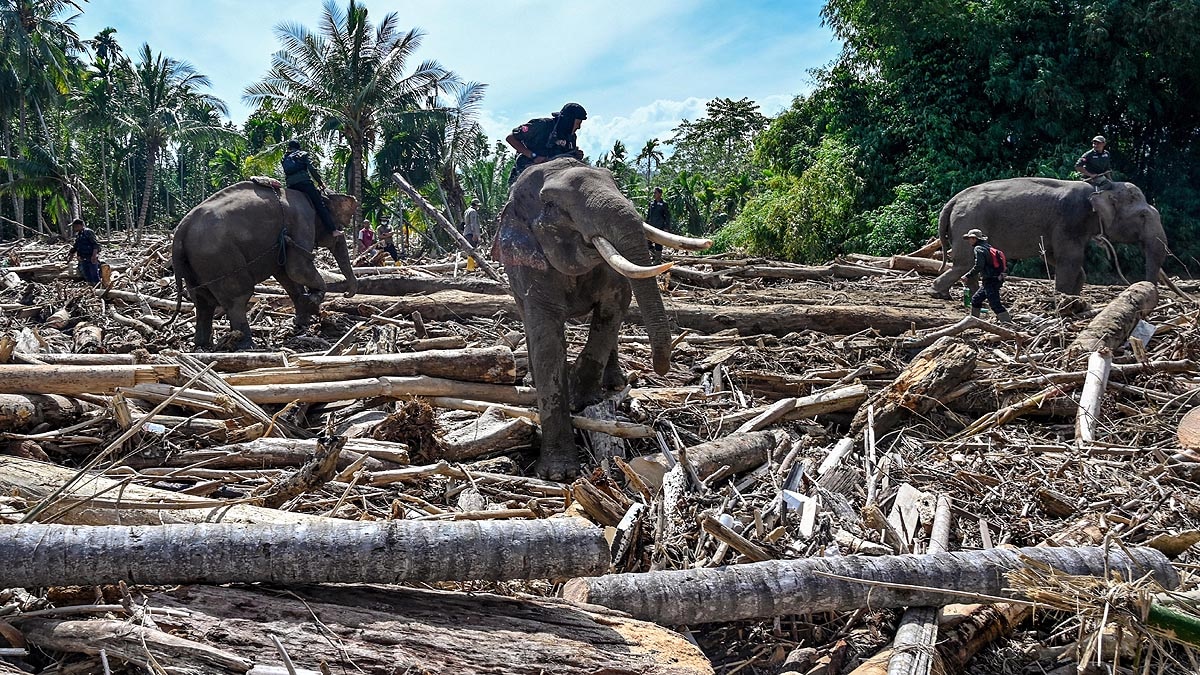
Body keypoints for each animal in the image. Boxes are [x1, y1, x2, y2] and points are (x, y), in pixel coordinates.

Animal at [172, 180, 359, 349]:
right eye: (339, 227)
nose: (346, 295)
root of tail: (180, 230)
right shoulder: (302, 223)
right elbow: (297, 268)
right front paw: (313, 299)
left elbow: (285, 275)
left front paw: (302, 319)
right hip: (220, 258)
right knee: (238, 297)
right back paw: (246, 345)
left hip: (197, 264)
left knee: (203, 301)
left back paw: (203, 344)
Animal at [495, 158, 711, 479]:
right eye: (550, 204)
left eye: (615, 182)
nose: (661, 368)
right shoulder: (528, 264)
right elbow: (546, 337)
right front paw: (559, 475)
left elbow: (613, 308)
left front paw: (581, 397)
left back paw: (613, 385)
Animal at [931, 178, 1167, 297]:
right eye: (1143, 215)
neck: (1100, 189)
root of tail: (952, 201)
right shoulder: (1071, 219)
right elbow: (1069, 259)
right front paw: (1063, 297)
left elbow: (1056, 257)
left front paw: (1074, 296)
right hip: (969, 221)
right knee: (964, 263)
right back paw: (938, 291)